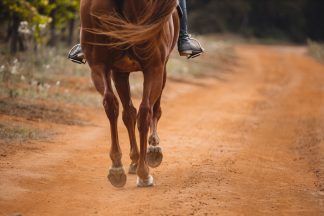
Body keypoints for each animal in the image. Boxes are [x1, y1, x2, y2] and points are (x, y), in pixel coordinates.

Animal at [79, 0, 178, 186]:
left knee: (111, 104)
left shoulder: (119, 71)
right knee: (146, 110)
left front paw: (135, 159)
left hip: (98, 66)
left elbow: (128, 113)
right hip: (154, 67)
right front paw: (152, 149)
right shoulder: (159, 67)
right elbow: (148, 110)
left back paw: (117, 168)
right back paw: (144, 173)